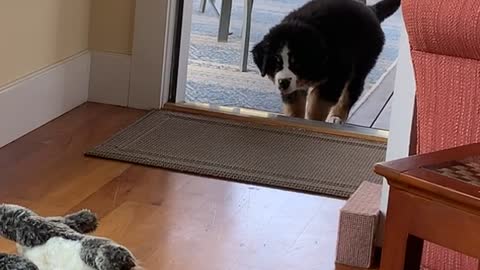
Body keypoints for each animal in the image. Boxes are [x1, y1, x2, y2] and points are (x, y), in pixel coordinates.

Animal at [251, 0, 402, 123]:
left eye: (297, 64)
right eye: (276, 63)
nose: (283, 82)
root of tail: (371, 9)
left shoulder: (336, 77)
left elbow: (317, 106)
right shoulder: (294, 88)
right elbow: (295, 105)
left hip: (361, 66)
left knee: (350, 93)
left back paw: (337, 116)